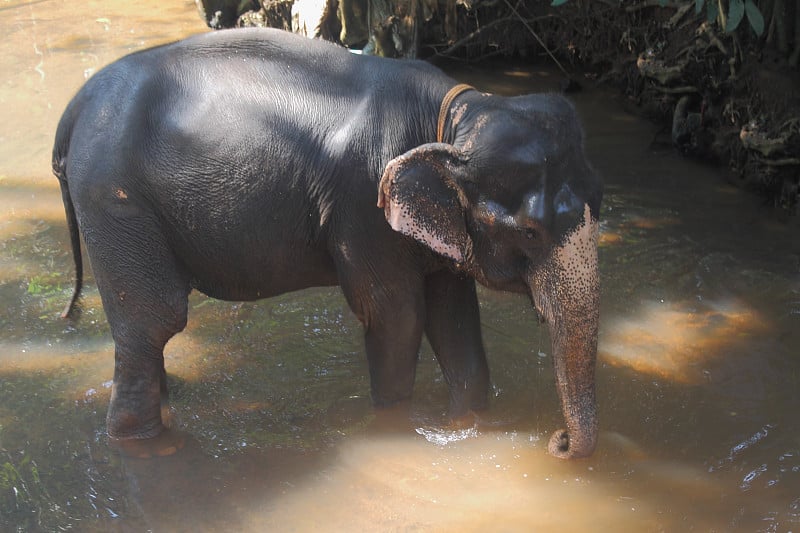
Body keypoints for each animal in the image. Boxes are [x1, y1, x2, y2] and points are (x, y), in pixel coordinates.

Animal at [53, 27, 604, 458]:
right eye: (530, 231)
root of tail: (77, 105)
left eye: (600, 204)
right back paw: (147, 445)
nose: (557, 442)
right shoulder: (364, 207)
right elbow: (398, 316)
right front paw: (395, 427)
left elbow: (455, 319)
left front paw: (467, 425)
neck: (458, 116)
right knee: (155, 320)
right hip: (114, 200)